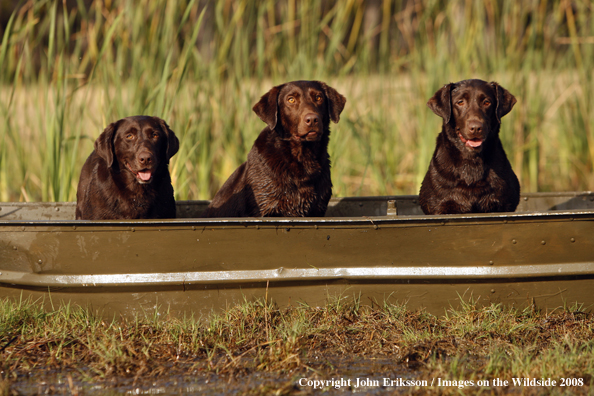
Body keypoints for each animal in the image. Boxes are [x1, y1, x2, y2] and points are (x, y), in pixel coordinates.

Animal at [416, 79, 520, 215]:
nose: (476, 128)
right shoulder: (441, 207)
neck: (472, 162)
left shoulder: (501, 206)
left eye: (487, 102)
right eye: (460, 102)